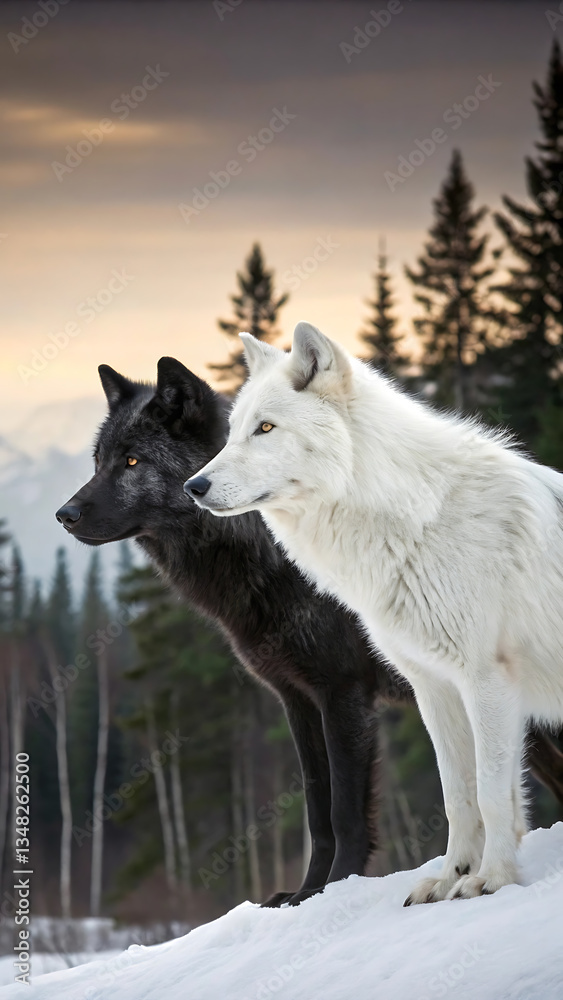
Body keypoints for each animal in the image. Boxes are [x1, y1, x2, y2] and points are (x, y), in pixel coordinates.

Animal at [185, 321, 563, 904]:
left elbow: (492, 793)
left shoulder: (486, 682)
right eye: (232, 432)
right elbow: (458, 795)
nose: (193, 487)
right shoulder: (434, 686)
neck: (415, 518)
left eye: (266, 428)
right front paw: (450, 876)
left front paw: (493, 878)